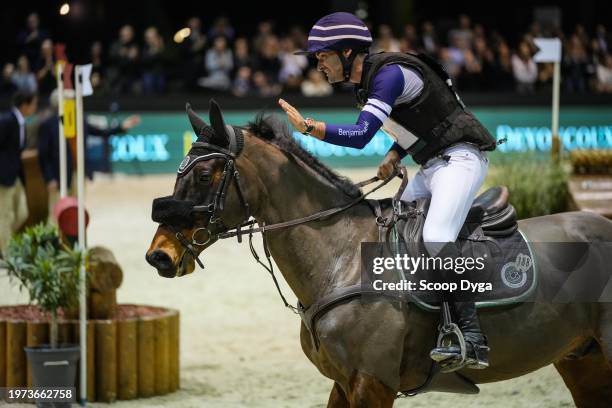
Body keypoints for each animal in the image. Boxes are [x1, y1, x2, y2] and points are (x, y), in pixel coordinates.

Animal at [146, 99, 612, 408]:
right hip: (581, 360)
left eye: (205, 174)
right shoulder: (342, 383)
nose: (159, 256)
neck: (342, 259)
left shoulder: (373, 384)